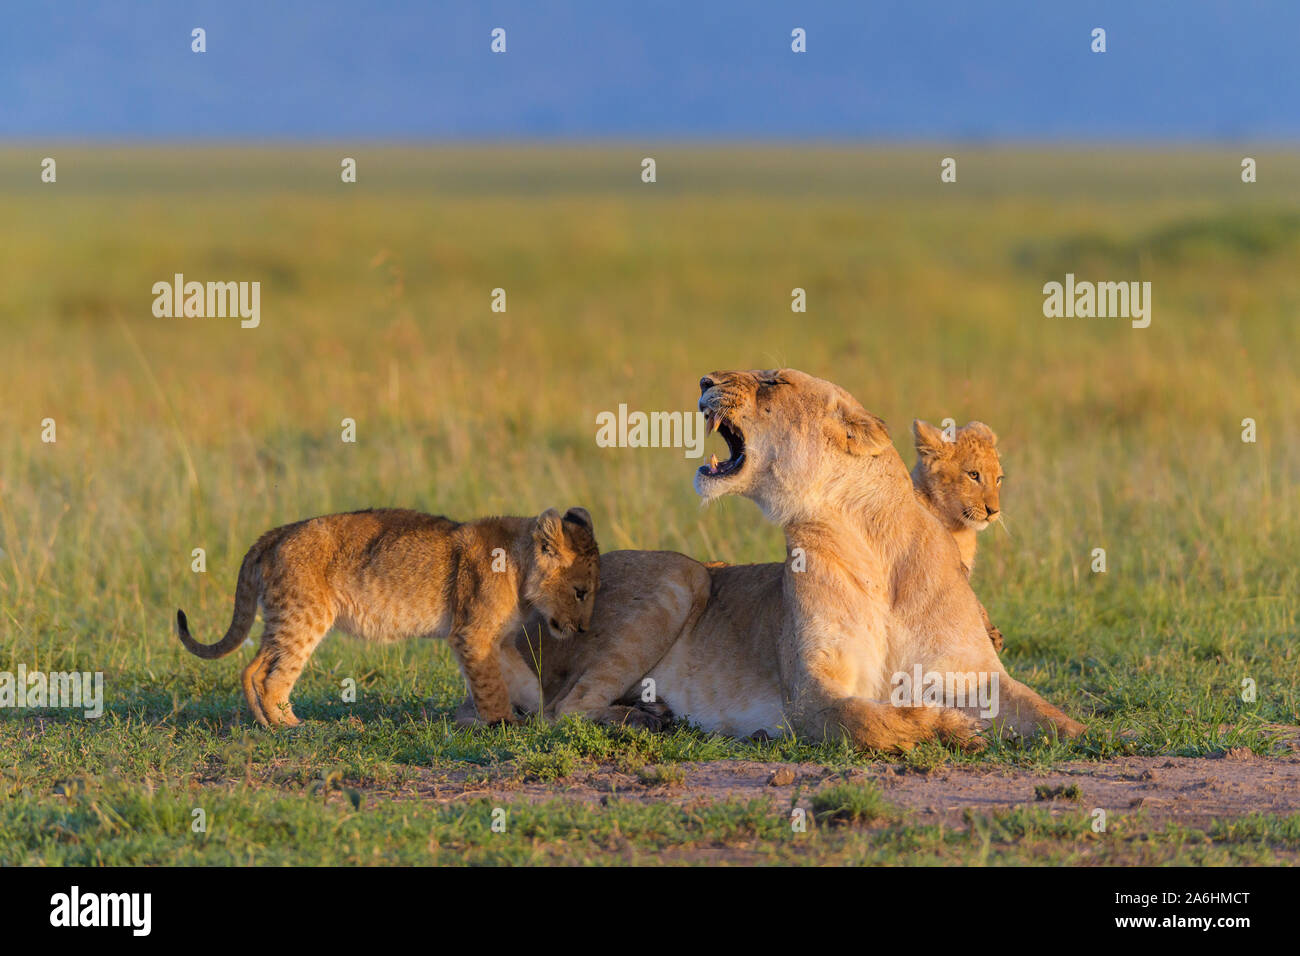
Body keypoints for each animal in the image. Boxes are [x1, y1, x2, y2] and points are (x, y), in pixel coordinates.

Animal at [176, 506, 599, 727]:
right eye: (580, 591)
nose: (583, 628)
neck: (521, 567)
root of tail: (275, 533)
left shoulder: (499, 642)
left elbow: (523, 680)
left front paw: (543, 718)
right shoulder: (472, 635)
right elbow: (491, 687)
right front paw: (502, 724)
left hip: (285, 617)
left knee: (251, 668)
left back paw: (266, 724)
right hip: (304, 617)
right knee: (273, 676)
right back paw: (291, 727)